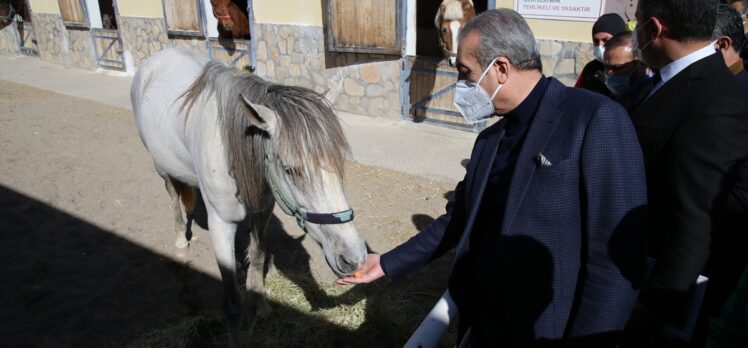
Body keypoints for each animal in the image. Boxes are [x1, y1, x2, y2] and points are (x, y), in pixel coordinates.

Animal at [132, 48, 372, 346]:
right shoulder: (221, 222)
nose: (354, 258)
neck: (233, 148)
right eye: (289, 169)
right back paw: (180, 242)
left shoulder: (262, 210)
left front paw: (260, 305)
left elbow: (257, 256)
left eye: (338, 163)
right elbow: (232, 303)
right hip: (163, 171)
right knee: (175, 201)